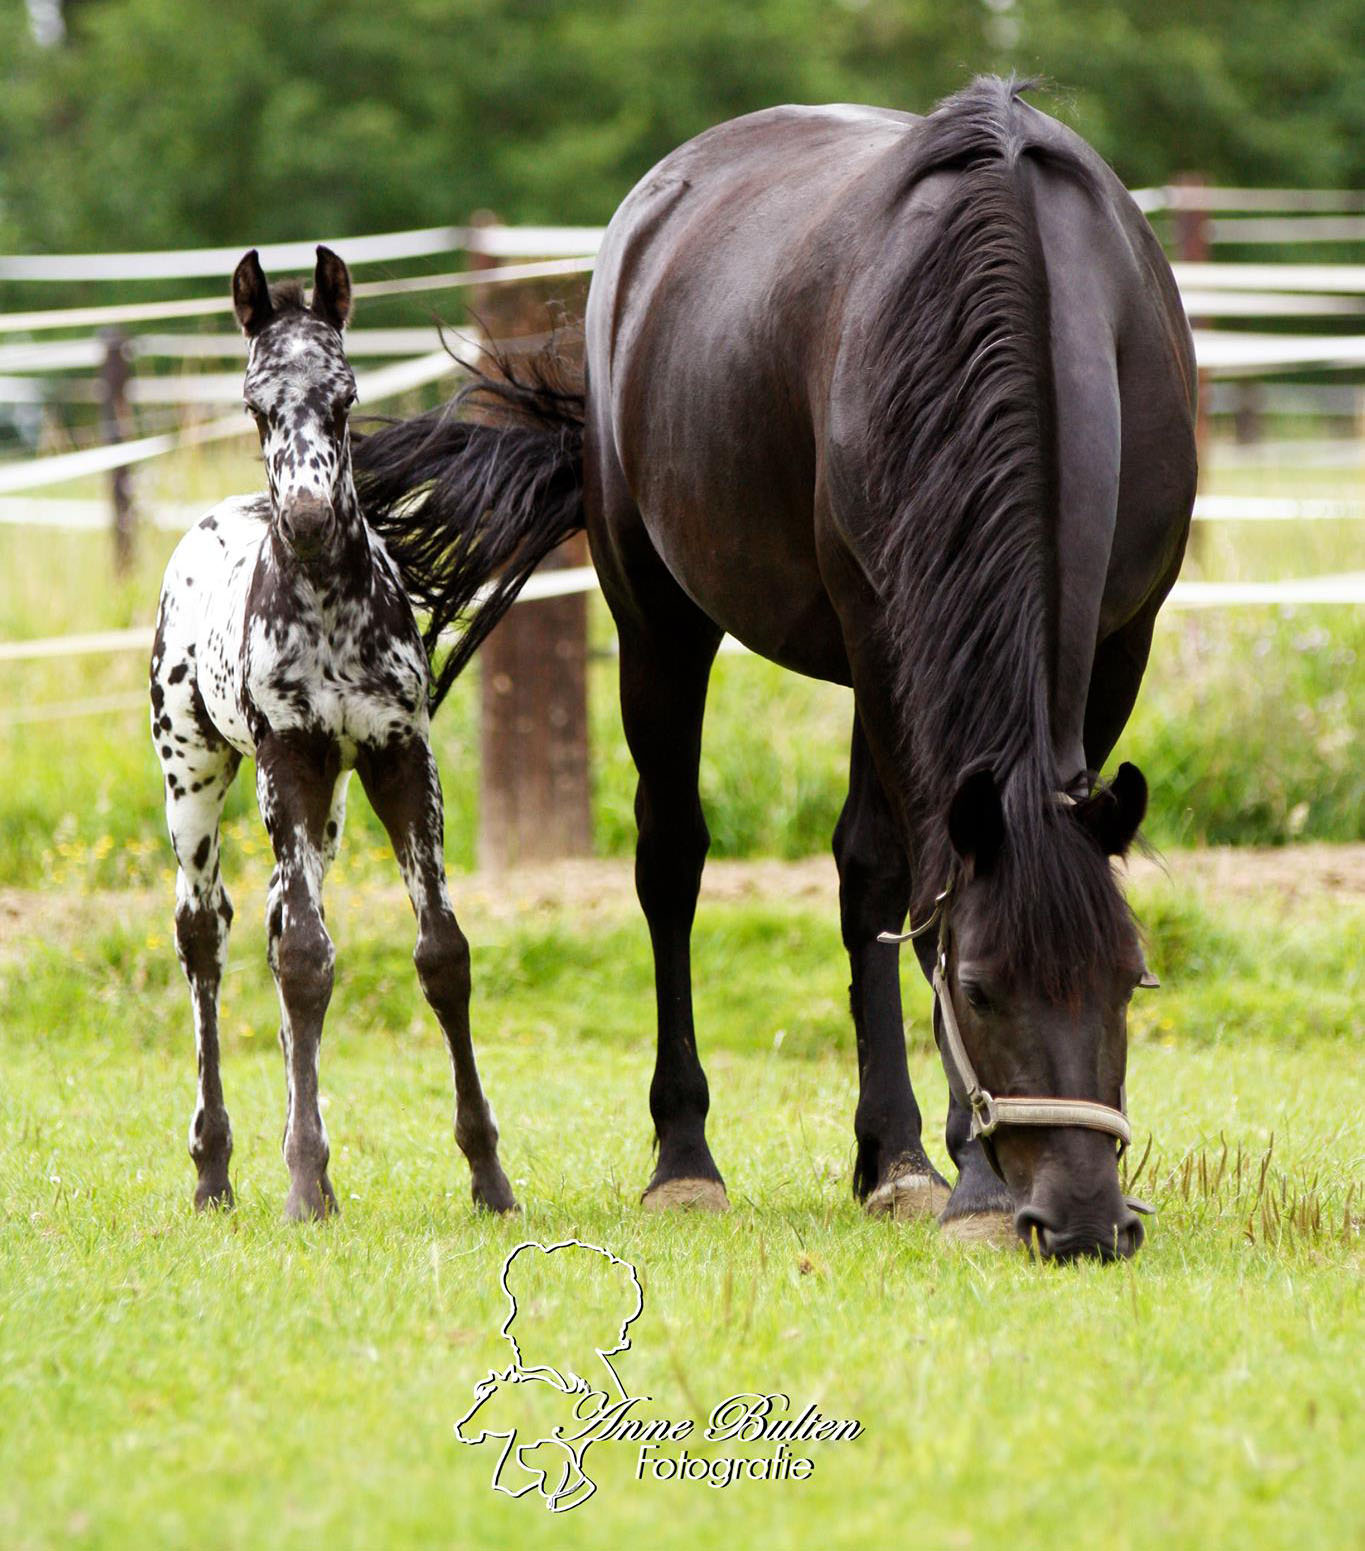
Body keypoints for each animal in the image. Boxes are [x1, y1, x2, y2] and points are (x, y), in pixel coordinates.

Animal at [148, 248, 511, 1215]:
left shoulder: (398, 757)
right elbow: (308, 960)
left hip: (332, 807)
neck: (329, 610)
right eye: (254, 403)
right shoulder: (290, 759)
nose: (308, 521)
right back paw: (214, 1169)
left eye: (346, 397)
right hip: (195, 772)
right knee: (206, 932)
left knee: (274, 920)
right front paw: (306, 1188)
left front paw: (489, 1175)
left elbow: (442, 953)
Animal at [355, 75, 1191, 1259]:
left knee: (857, 872)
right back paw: (688, 1160)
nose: (1078, 1221)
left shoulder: (1120, 640)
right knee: (673, 862)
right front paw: (975, 1181)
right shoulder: (880, 629)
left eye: (1130, 979)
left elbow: (898, 883)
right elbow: (921, 892)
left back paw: (890, 1158)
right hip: (660, 621)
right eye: (980, 990)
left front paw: (928, 1161)